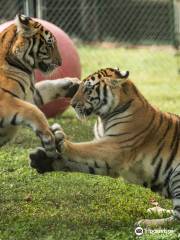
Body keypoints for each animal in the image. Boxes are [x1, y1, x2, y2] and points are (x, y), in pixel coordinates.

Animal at [0, 14, 79, 158]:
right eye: (49, 44)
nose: (60, 62)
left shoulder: (30, 95)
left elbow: (46, 87)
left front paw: (72, 84)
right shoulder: (5, 99)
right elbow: (34, 111)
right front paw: (48, 138)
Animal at [28, 68, 180, 227]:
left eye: (88, 89)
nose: (72, 104)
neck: (103, 117)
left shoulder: (114, 147)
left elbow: (83, 149)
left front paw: (60, 140)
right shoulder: (109, 162)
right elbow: (76, 161)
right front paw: (42, 160)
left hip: (176, 174)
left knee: (177, 219)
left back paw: (146, 222)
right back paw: (155, 210)